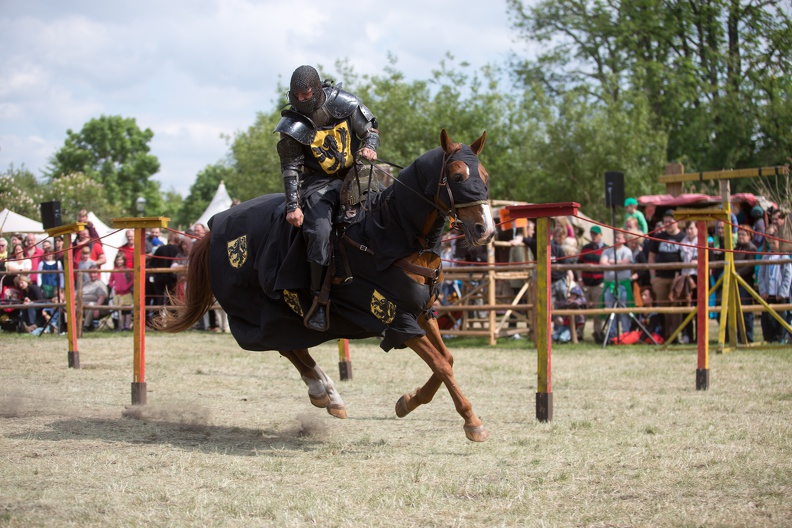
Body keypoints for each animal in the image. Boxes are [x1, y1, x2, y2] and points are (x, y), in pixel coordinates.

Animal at [155, 129, 496, 442]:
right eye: (457, 175)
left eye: (484, 176)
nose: (486, 230)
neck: (389, 233)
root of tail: (214, 228)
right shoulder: (396, 319)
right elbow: (441, 365)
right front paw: (472, 421)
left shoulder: (422, 313)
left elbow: (446, 361)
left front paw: (408, 402)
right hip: (257, 306)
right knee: (285, 344)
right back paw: (324, 390)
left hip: (281, 310)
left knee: (291, 345)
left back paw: (326, 393)